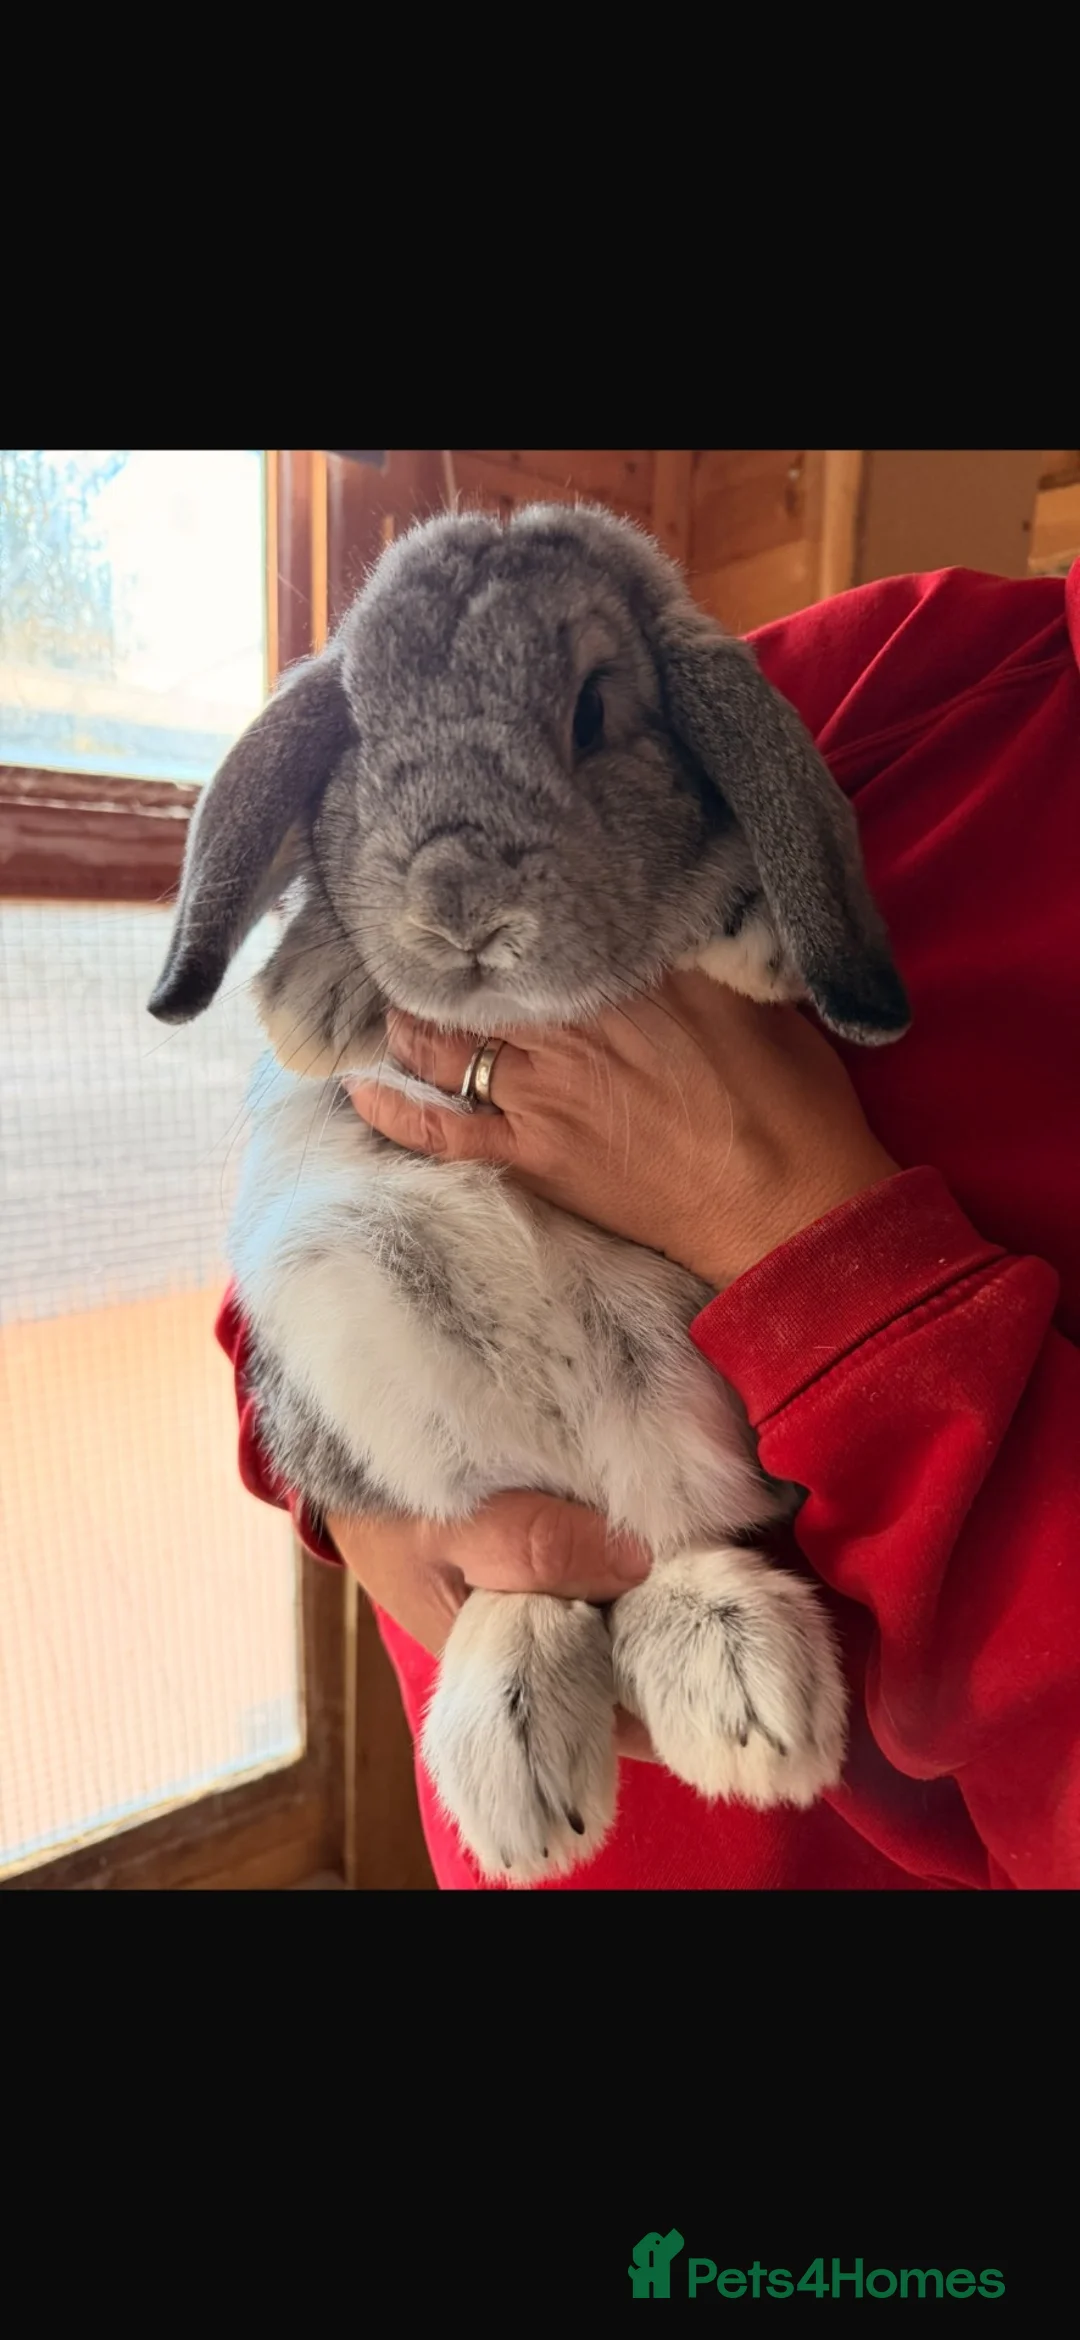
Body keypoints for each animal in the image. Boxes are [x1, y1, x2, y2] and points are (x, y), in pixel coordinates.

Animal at [148, 499, 910, 1886]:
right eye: (360, 737)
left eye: (596, 711)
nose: (458, 905)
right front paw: (316, 999)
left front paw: (755, 934)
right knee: (531, 1567)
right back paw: (525, 1762)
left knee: (674, 1538)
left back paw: (742, 1689)